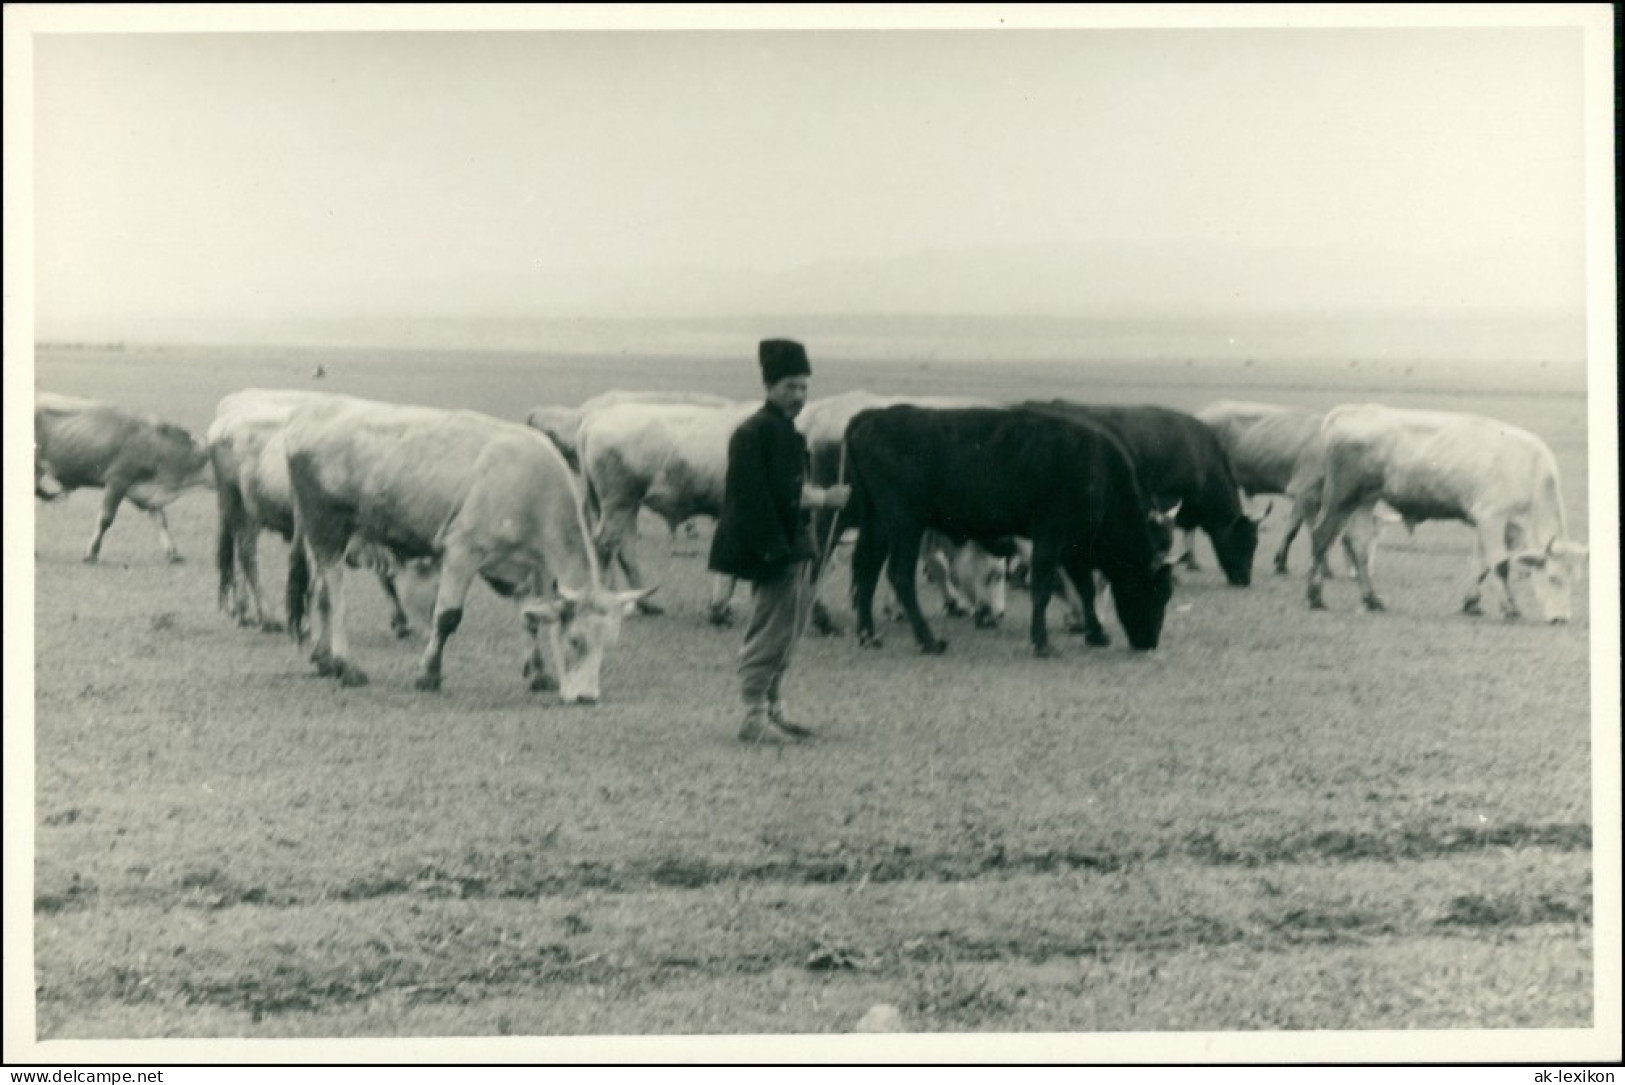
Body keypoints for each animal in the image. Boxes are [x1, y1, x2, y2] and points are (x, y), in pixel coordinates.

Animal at [33, 391, 212, 565]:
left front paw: (173, 554)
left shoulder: (145, 492)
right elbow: (106, 519)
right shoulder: (118, 480)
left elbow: (161, 520)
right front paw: (92, 553)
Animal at [286, 394, 646, 698]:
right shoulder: (462, 552)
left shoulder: (526, 569)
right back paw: (347, 666)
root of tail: (312, 419)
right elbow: (447, 617)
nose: (586, 697)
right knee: (335, 597)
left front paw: (538, 674)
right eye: (574, 640)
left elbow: (530, 618)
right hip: (328, 530)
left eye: (608, 643)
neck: (531, 488)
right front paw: (429, 675)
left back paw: (325, 659)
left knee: (317, 593)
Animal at [845, 404, 1176, 652]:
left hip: (879, 525)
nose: (1149, 643)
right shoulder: (1050, 538)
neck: (1098, 470)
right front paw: (1042, 644)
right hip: (906, 525)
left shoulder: (1074, 547)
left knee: (868, 570)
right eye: (1156, 590)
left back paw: (868, 637)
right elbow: (1043, 588)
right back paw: (930, 641)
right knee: (899, 576)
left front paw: (1096, 634)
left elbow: (1085, 589)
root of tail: (873, 417)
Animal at [1306, 402, 1586, 623]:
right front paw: (1510, 608)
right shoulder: (1491, 519)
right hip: (1341, 497)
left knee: (1359, 544)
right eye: (1553, 578)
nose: (1561, 618)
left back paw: (1372, 599)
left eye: (1575, 580)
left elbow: (1482, 566)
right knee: (1321, 535)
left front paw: (1472, 603)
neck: (1530, 469)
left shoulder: (1499, 525)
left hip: (1366, 500)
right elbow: (1500, 565)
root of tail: (1352, 411)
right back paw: (1314, 596)